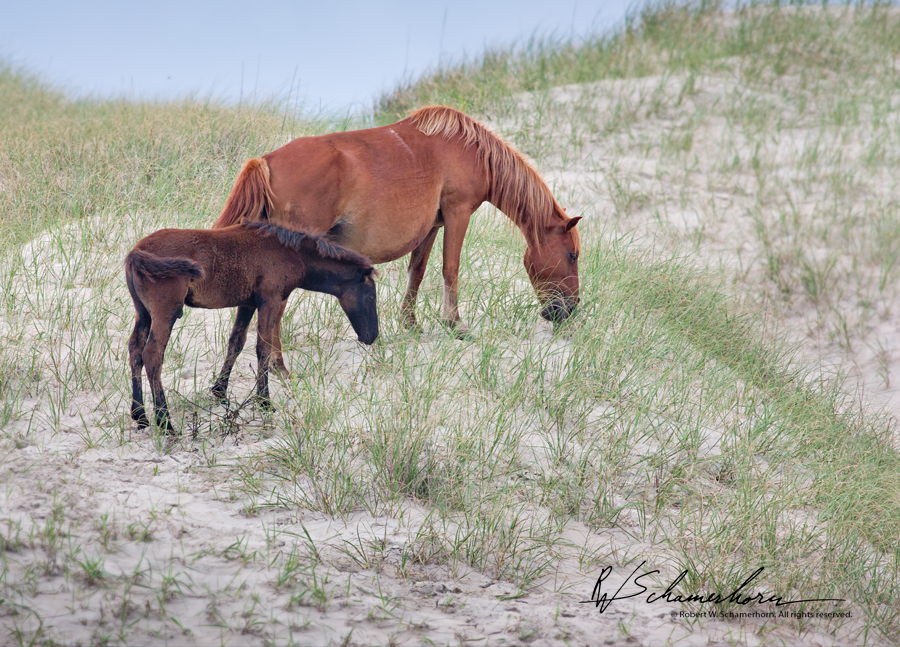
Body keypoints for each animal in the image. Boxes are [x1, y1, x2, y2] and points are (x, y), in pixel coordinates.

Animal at [214, 104, 580, 360]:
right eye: (572, 255)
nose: (570, 310)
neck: (469, 149)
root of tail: (265, 162)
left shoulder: (432, 226)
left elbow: (417, 271)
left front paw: (411, 323)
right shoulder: (458, 213)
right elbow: (451, 269)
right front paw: (454, 325)